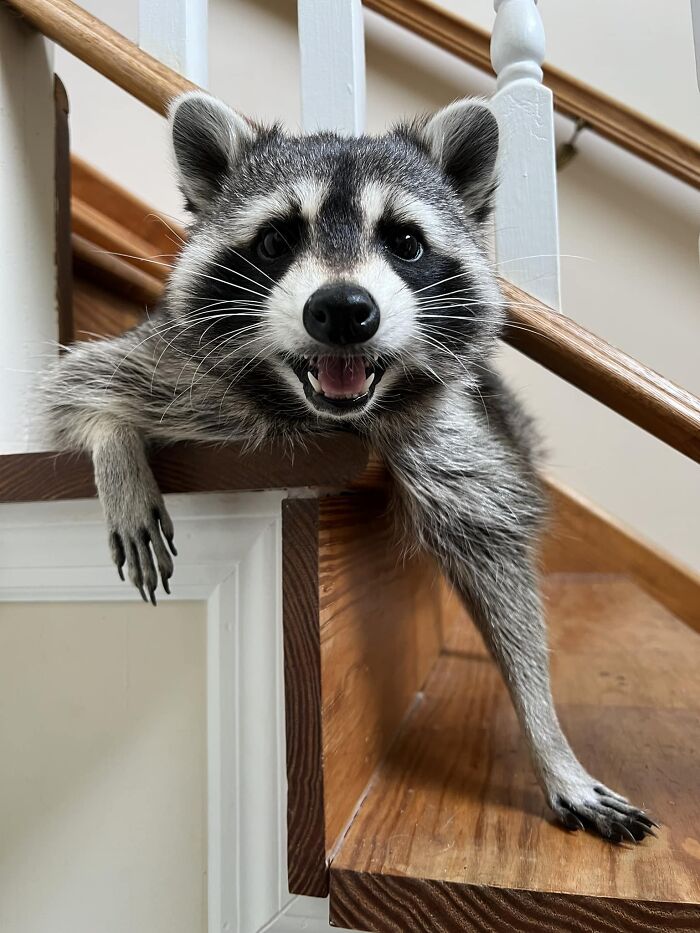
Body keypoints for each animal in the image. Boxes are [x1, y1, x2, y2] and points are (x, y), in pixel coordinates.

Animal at [44, 91, 654, 843]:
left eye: (405, 241)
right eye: (276, 240)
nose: (341, 309)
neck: (333, 416)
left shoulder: (454, 434)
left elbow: (501, 572)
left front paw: (548, 737)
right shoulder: (180, 366)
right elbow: (81, 385)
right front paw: (114, 444)